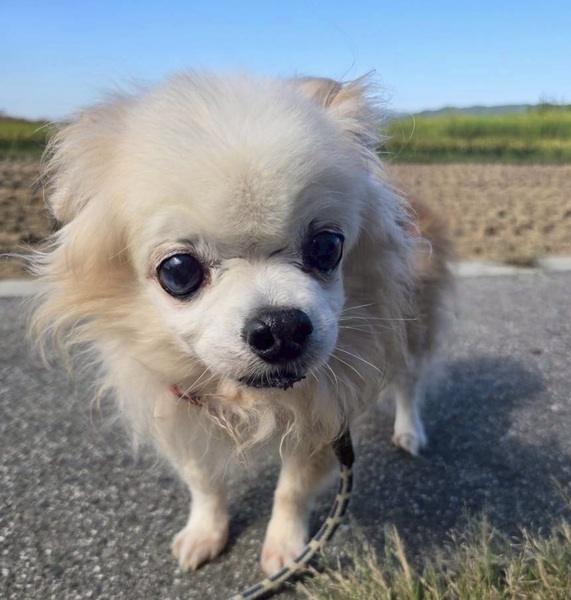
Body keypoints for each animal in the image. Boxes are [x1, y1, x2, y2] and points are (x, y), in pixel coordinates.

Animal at [31, 72, 452, 575]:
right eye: (178, 271)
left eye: (327, 247)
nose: (281, 328)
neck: (247, 401)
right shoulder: (179, 410)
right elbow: (203, 480)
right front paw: (205, 533)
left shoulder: (323, 416)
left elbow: (292, 489)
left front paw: (286, 549)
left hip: (412, 329)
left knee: (409, 383)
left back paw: (409, 431)